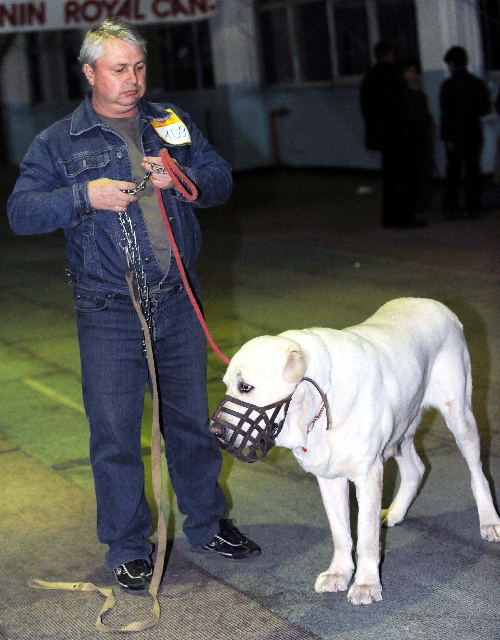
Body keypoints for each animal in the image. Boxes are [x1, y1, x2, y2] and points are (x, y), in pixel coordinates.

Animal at [211, 298, 500, 604]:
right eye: (227, 385)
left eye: (246, 387)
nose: (214, 431)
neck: (319, 403)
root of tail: (436, 304)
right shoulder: (329, 478)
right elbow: (341, 533)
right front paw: (339, 573)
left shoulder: (368, 474)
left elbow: (367, 537)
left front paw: (366, 584)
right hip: (401, 429)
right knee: (417, 469)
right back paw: (395, 512)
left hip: (459, 415)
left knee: (477, 472)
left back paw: (489, 521)